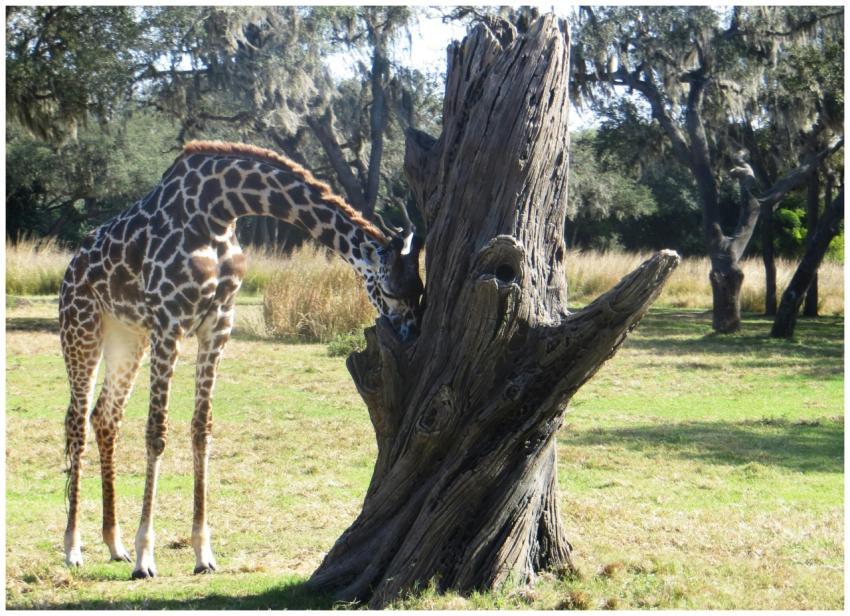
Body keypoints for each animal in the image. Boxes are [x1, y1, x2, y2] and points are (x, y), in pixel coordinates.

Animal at [59, 140, 424, 578]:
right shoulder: (169, 321)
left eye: (420, 290)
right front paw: (147, 557)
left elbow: (202, 428)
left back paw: (114, 545)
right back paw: (73, 548)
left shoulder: (218, 324)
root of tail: (69, 269)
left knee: (104, 417)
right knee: (76, 422)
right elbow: (156, 432)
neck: (218, 209)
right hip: (82, 328)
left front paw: (203, 553)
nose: (411, 334)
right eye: (389, 290)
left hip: (128, 337)